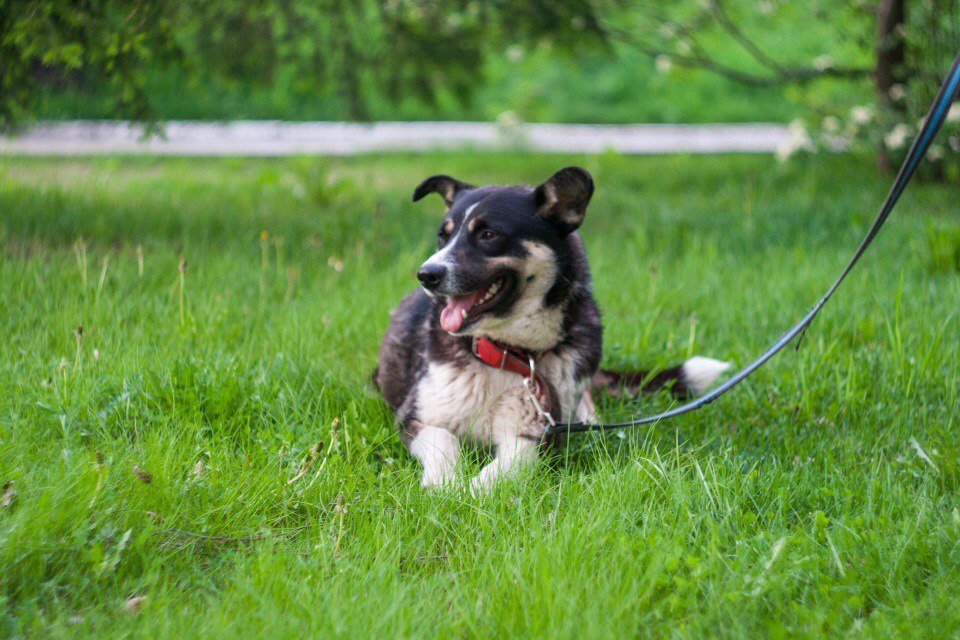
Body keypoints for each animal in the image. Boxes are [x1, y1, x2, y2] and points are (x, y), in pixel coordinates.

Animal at [376, 166, 728, 490]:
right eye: (444, 235)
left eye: (489, 235)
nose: (426, 275)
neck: (507, 353)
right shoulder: (417, 417)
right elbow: (444, 444)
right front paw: (445, 485)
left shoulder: (535, 433)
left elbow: (510, 464)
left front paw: (475, 491)